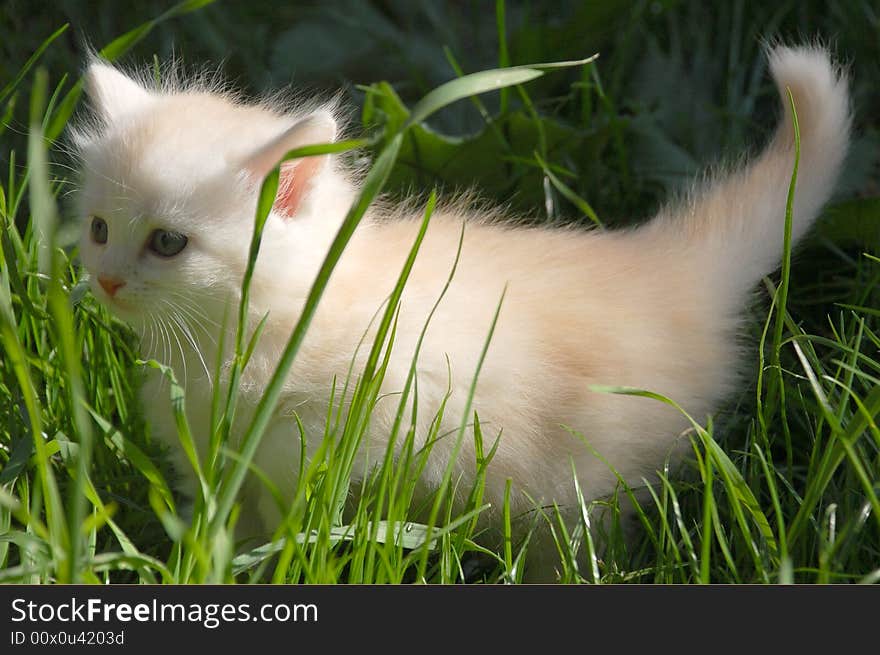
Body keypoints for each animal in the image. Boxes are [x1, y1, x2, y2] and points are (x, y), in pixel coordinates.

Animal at [75, 44, 852, 580]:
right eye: (99, 230)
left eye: (168, 243)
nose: (106, 282)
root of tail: (666, 270)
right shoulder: (218, 467)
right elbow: (231, 534)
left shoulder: (323, 454)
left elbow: (298, 533)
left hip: (576, 485)